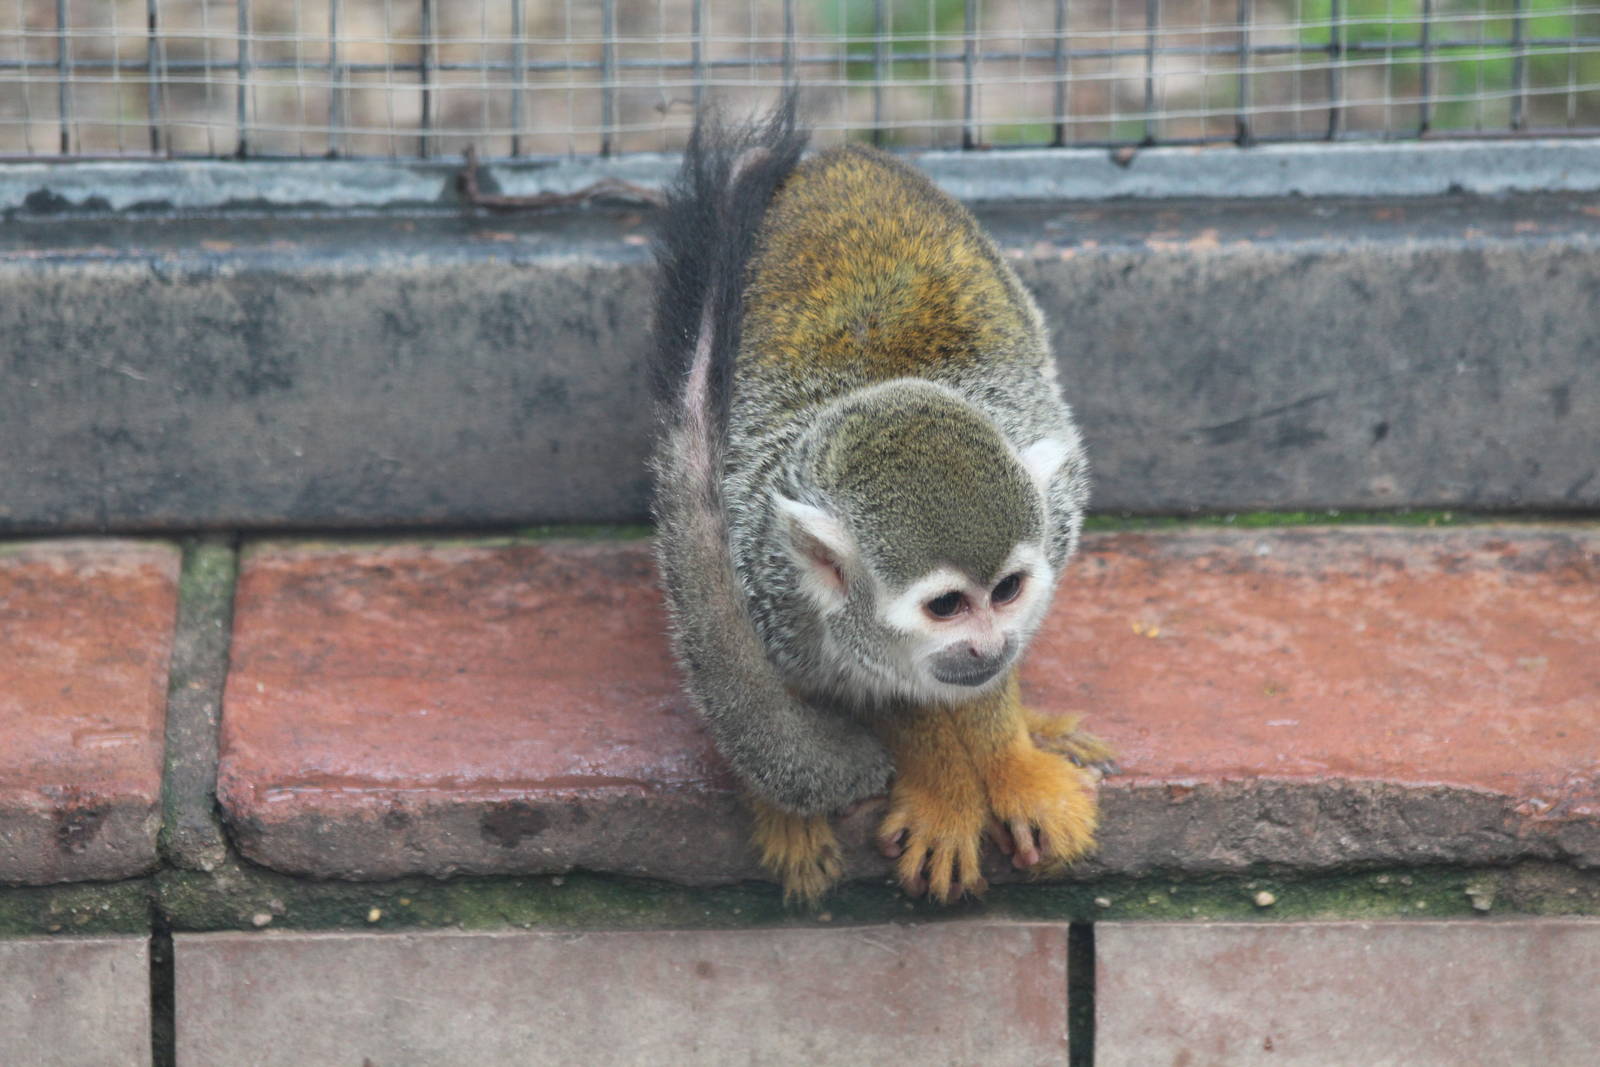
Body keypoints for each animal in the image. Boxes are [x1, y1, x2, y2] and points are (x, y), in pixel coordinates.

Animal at [650, 100, 1109, 905]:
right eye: (946, 606)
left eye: (1008, 590)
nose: (988, 643)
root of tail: (837, 158)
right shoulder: (766, 590)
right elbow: (883, 702)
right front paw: (942, 787)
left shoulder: (1053, 528)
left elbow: (968, 692)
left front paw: (1009, 763)